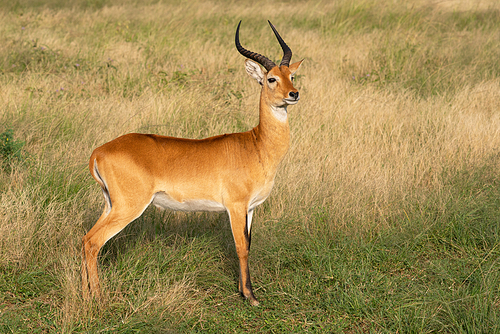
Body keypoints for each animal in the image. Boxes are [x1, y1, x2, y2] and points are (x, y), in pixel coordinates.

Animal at [80, 20, 302, 306]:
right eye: (271, 78)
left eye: (292, 76)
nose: (294, 94)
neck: (256, 145)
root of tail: (99, 151)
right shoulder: (235, 206)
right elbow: (241, 248)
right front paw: (251, 298)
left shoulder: (251, 208)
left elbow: (248, 245)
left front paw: (244, 291)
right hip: (129, 207)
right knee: (94, 242)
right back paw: (97, 297)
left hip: (110, 204)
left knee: (86, 239)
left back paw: (85, 294)